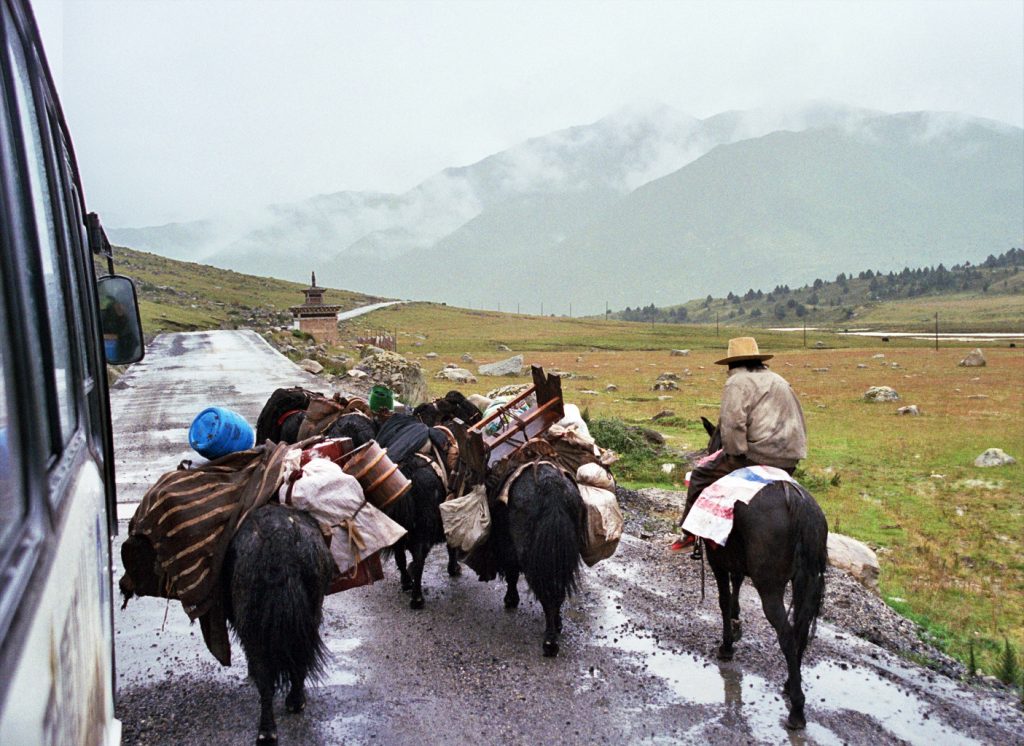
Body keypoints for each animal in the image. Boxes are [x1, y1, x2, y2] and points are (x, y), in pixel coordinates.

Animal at [224, 503, 335, 740]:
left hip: (253, 628)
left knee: (265, 678)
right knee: (300, 660)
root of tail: (281, 538)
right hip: (311, 614)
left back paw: (268, 729)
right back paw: (294, 703)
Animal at [692, 415, 827, 728]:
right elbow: (737, 584)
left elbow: (723, 599)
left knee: (786, 633)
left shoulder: (717, 560)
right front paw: (737, 623)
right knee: (800, 630)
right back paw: (791, 684)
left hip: (770, 587)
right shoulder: (736, 558)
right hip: (807, 583)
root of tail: (796, 501)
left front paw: (727, 645)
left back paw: (797, 709)